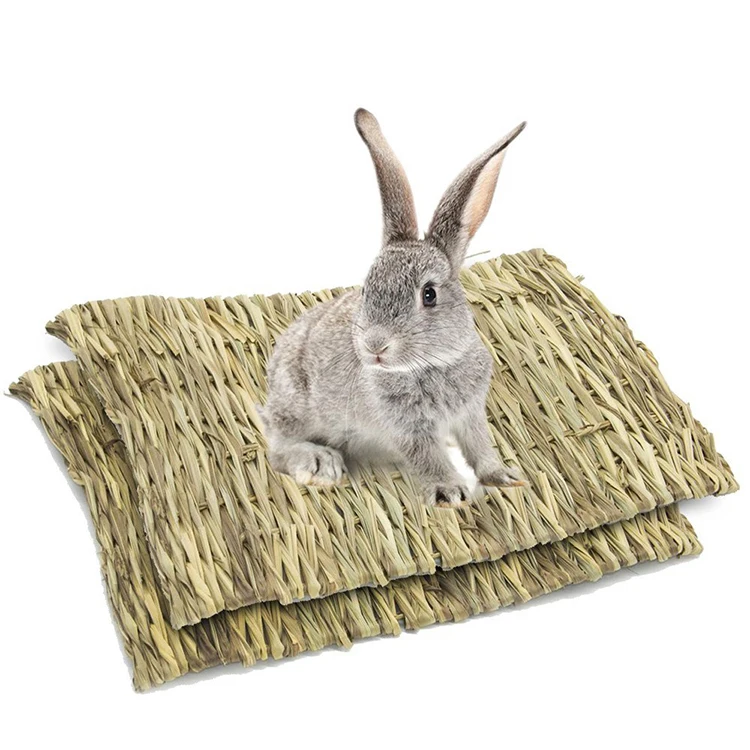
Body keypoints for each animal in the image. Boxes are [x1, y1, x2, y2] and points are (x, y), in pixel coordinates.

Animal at [260, 108, 526, 507]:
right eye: (366, 288)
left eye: (429, 294)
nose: (375, 345)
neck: (431, 364)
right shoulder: (408, 428)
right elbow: (428, 456)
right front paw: (449, 491)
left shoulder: (471, 414)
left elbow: (480, 447)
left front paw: (505, 477)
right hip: (297, 407)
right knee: (278, 448)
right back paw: (320, 463)